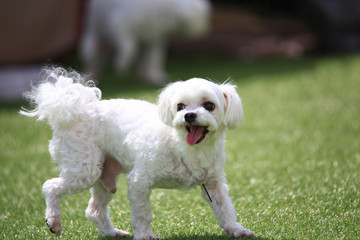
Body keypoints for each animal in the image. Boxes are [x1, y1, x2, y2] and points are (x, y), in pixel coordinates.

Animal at [20, 67, 256, 238]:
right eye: (180, 106)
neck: (184, 146)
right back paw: (53, 222)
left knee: (94, 210)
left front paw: (236, 229)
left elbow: (225, 208)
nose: (189, 115)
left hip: (105, 175)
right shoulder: (139, 181)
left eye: (209, 105)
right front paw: (145, 236)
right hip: (84, 169)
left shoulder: (213, 183)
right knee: (50, 186)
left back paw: (112, 233)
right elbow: (142, 214)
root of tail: (75, 110)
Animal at [81, 0, 211, 84]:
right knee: (93, 53)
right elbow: (130, 47)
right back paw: (91, 73)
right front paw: (121, 65)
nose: (204, 30)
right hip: (94, 32)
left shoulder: (155, 38)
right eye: (202, 18)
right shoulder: (118, 25)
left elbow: (155, 57)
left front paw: (155, 76)